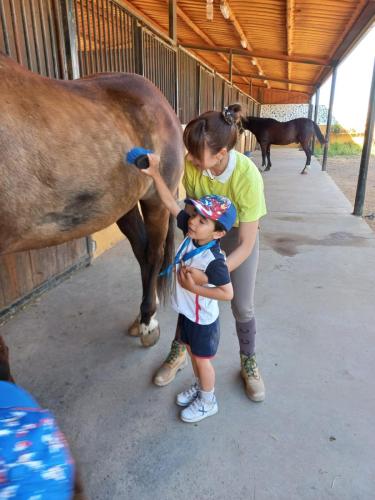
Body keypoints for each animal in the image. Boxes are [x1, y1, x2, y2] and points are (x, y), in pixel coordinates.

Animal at [0, 50, 184, 364]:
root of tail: (160, 101)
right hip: (123, 205)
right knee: (143, 253)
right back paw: (141, 317)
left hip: (156, 200)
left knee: (155, 253)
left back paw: (148, 322)